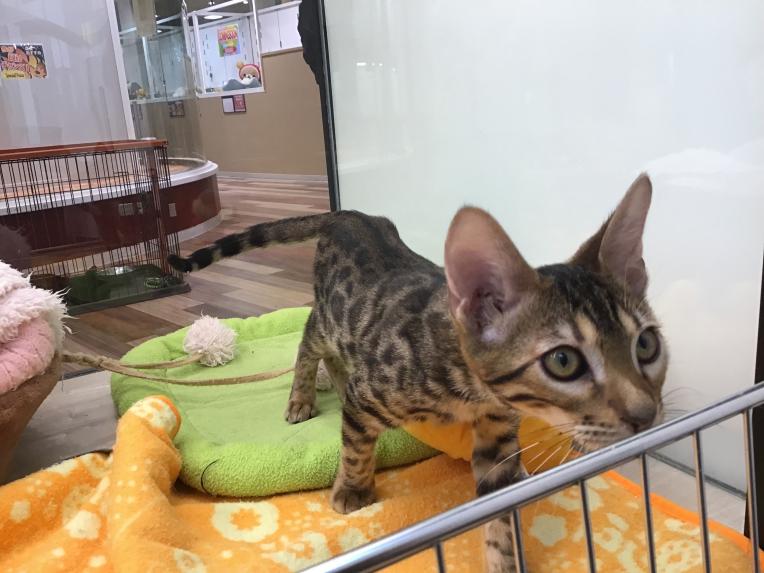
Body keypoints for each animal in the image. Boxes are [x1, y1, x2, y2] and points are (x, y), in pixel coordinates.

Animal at [168, 173, 668, 572]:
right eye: (563, 362)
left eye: (647, 345)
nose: (647, 414)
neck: (472, 392)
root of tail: (351, 215)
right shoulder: (369, 393)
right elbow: (356, 446)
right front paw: (353, 490)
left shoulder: (497, 442)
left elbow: (499, 510)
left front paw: (503, 560)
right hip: (330, 316)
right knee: (309, 339)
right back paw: (301, 399)